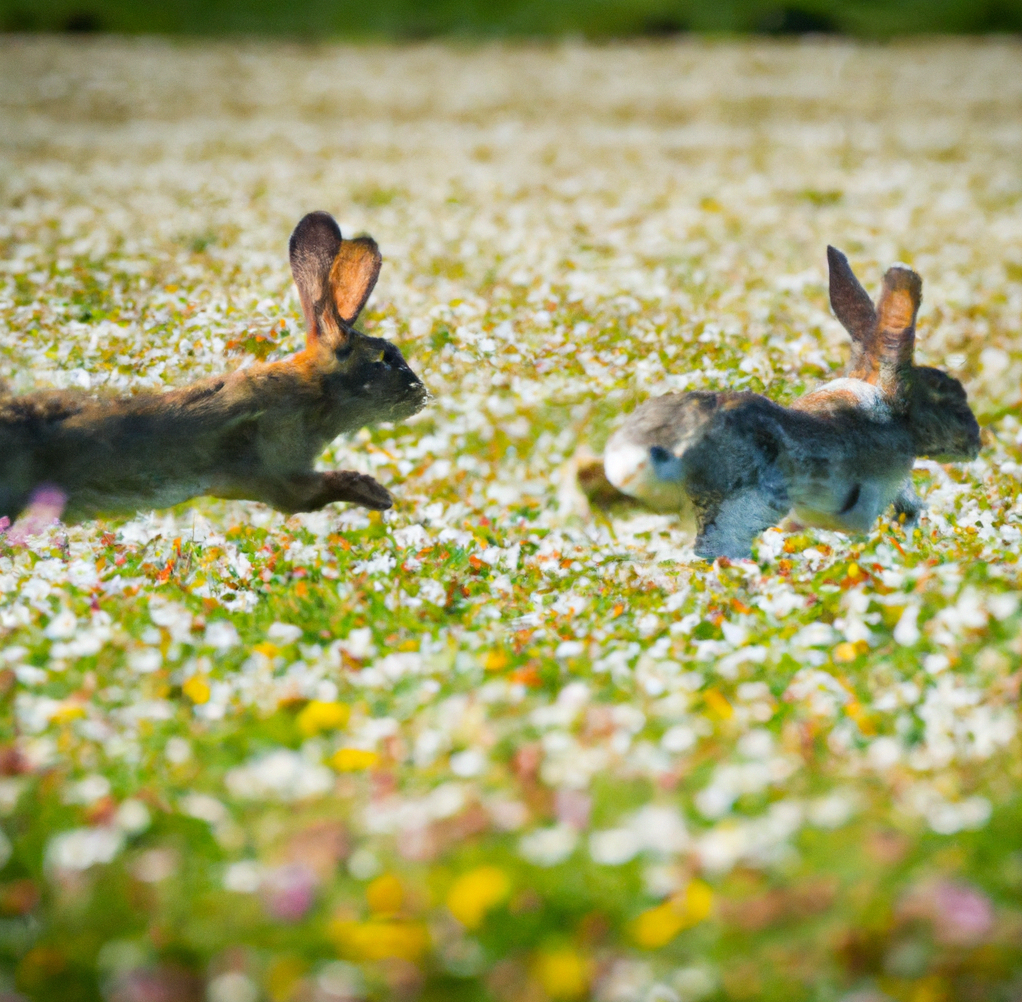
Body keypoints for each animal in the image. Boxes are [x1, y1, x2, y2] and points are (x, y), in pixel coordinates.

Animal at [0, 211, 429, 523]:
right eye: (383, 360)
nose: (423, 397)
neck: (315, 392)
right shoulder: (278, 470)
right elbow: (310, 495)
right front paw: (376, 493)